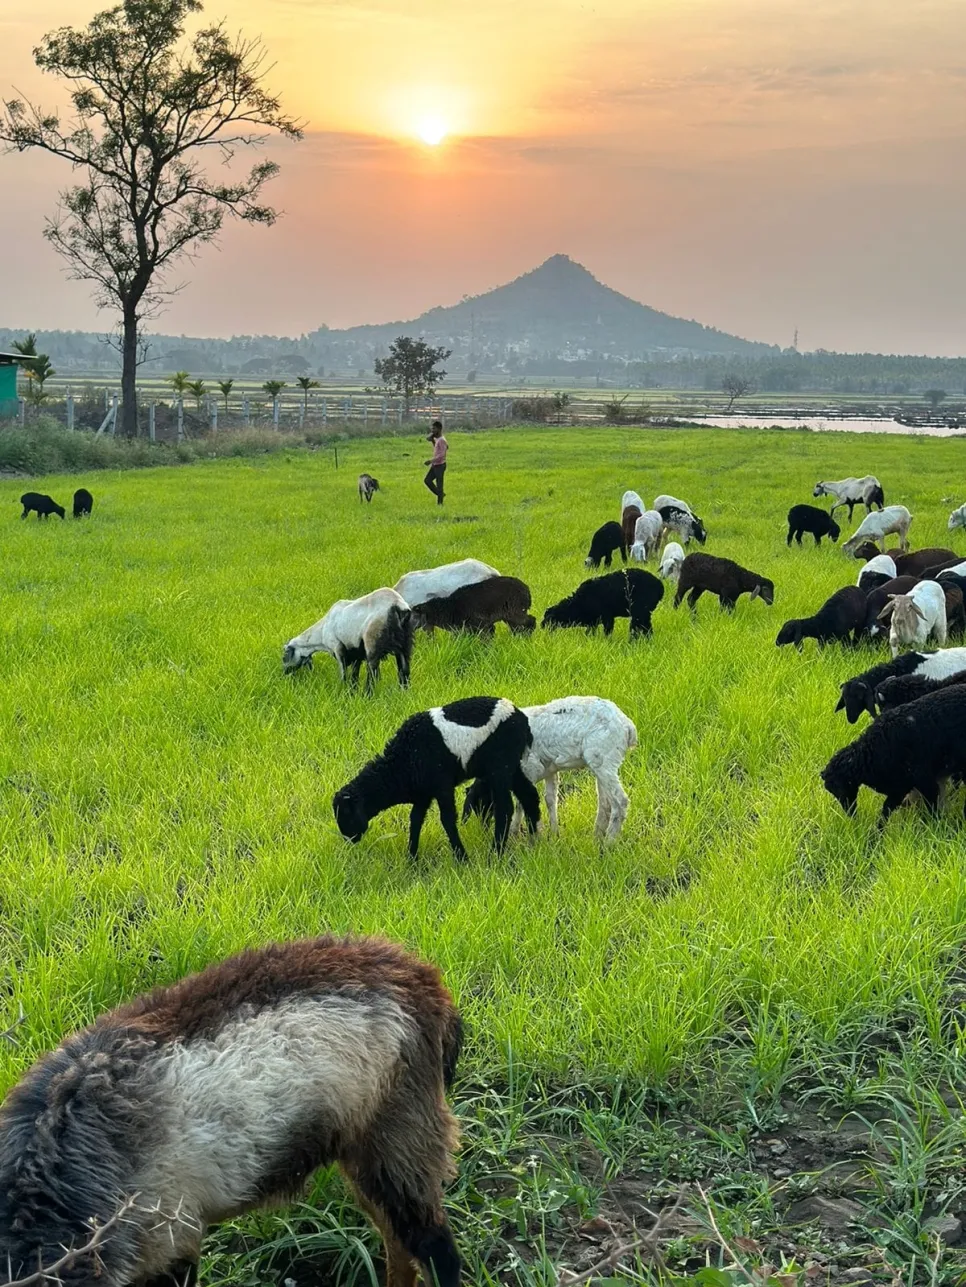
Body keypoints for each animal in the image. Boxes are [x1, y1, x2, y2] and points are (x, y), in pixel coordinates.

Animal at [0, 935, 463, 1287]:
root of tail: (423, 978)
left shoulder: (172, 1241)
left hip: (402, 1132)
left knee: (435, 1248)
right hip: (363, 1150)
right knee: (398, 1244)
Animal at [282, 588, 414, 691]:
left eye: (284, 657)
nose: (284, 674)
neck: (321, 633)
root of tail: (398, 605)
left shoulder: (338, 648)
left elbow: (344, 674)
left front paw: (343, 692)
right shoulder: (356, 652)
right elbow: (354, 675)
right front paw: (352, 691)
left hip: (372, 642)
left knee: (373, 673)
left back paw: (368, 694)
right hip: (405, 645)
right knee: (404, 670)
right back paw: (404, 693)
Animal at [333, 696, 540, 859]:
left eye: (347, 813)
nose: (350, 838)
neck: (401, 763)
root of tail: (521, 718)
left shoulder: (442, 785)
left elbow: (447, 820)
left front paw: (462, 858)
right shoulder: (423, 793)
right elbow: (415, 820)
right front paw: (412, 859)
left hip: (500, 766)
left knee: (505, 808)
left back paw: (495, 854)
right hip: (512, 766)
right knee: (529, 795)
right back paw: (534, 842)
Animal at [462, 696, 638, 844]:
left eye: (483, 803)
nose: (484, 830)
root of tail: (628, 726)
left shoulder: (530, 769)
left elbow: (520, 802)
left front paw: (515, 834)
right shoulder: (550, 770)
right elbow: (550, 800)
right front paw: (554, 834)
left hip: (603, 760)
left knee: (620, 801)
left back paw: (609, 843)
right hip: (601, 763)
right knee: (605, 802)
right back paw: (596, 837)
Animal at [822, 685, 966, 822]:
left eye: (838, 786)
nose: (850, 814)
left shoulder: (924, 780)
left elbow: (933, 808)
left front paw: (936, 826)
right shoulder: (900, 786)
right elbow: (886, 811)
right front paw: (875, 832)